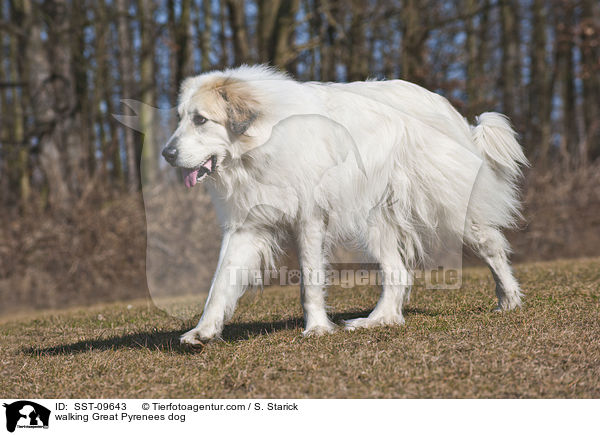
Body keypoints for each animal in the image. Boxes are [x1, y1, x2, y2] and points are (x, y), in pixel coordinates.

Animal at [161, 64, 528, 344]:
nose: (166, 154)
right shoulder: (245, 228)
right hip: (376, 221)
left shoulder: (309, 220)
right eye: (180, 118)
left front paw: (316, 329)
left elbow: (310, 282)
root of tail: (447, 108)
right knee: (397, 273)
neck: (261, 140)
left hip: (450, 207)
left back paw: (509, 300)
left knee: (491, 246)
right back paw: (378, 320)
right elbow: (220, 283)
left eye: (200, 120)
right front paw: (203, 331)